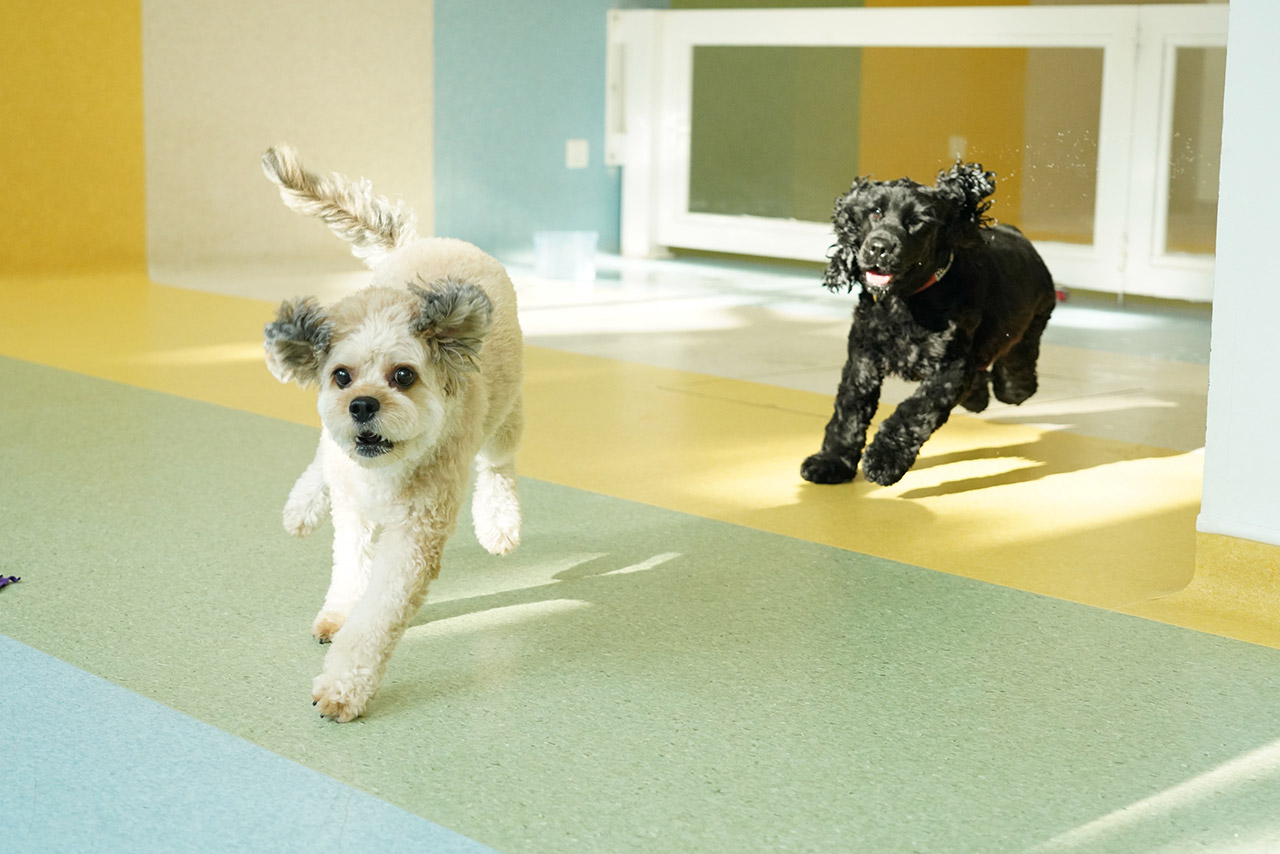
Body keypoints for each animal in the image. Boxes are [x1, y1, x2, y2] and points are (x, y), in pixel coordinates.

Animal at [262, 145, 522, 722]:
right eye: (341, 375)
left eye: (403, 375)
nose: (362, 404)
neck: (384, 471)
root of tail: (432, 242)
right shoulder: (353, 509)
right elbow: (348, 568)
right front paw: (338, 612)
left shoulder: (415, 538)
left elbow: (376, 618)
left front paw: (344, 686)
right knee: (324, 452)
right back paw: (301, 506)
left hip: (505, 416)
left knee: (498, 465)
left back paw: (499, 522)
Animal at [803, 162, 1054, 483]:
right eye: (875, 212)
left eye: (916, 222)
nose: (878, 247)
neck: (905, 301)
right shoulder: (863, 357)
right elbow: (849, 411)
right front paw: (832, 462)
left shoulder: (950, 366)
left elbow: (915, 410)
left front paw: (884, 460)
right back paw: (976, 397)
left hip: (1033, 321)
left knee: (1016, 366)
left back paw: (1015, 387)